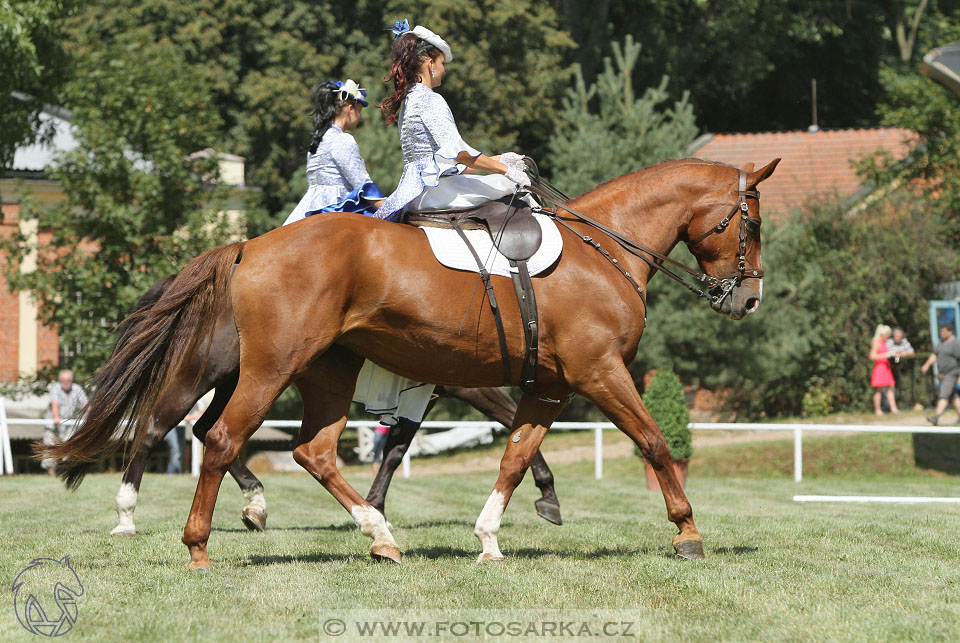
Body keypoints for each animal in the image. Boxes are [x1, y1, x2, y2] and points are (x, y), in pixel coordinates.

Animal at [47, 157, 780, 568]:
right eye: (752, 223)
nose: (748, 297)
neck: (602, 251)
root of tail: (251, 244)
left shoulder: (547, 387)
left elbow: (514, 457)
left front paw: (489, 538)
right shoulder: (599, 372)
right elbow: (655, 441)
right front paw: (687, 532)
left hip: (327, 369)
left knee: (310, 450)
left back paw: (378, 535)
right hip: (260, 367)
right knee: (206, 434)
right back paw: (191, 539)